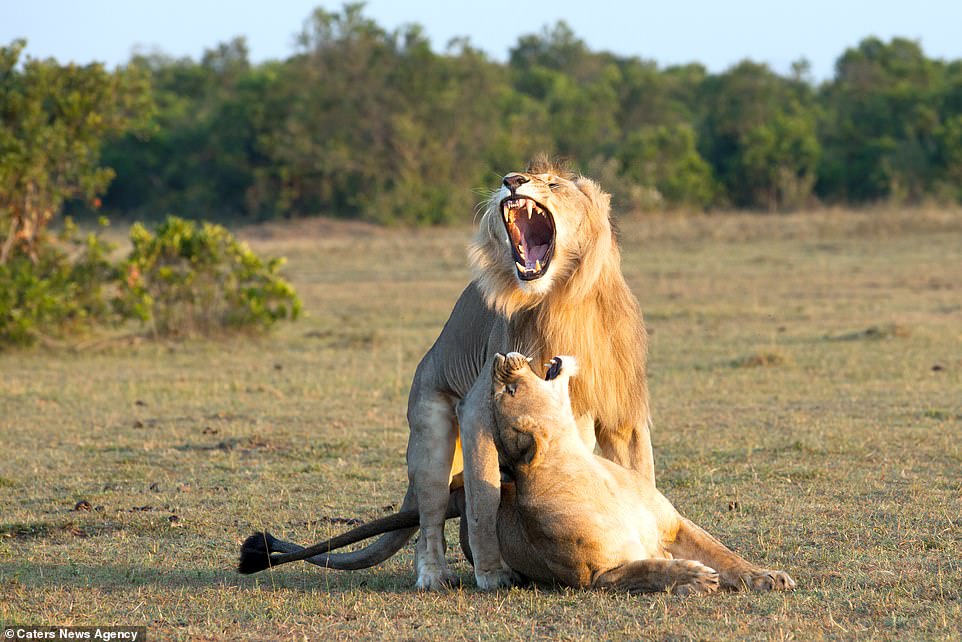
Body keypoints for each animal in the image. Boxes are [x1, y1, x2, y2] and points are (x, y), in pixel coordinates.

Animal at [240, 352, 796, 592]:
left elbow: (725, 553)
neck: (583, 467)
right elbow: (646, 570)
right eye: (506, 389)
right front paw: (689, 576)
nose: (501, 358)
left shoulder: (674, 525)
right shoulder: (592, 577)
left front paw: (765, 576)